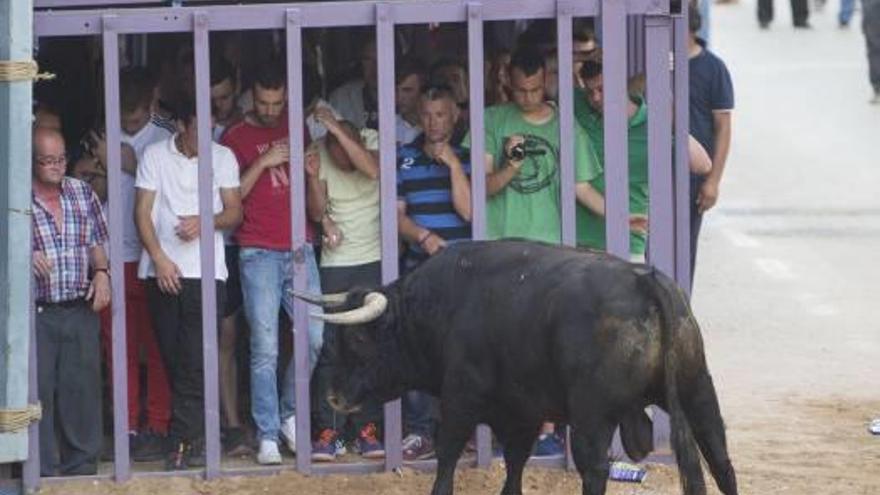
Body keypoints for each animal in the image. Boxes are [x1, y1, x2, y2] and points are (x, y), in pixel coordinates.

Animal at [294, 241, 736, 495]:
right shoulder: (524, 413)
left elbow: (448, 456)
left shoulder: (460, 400)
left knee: (594, 468)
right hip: (698, 389)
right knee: (720, 459)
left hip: (592, 414)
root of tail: (644, 279)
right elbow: (515, 466)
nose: (334, 397)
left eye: (358, 340)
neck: (442, 306)